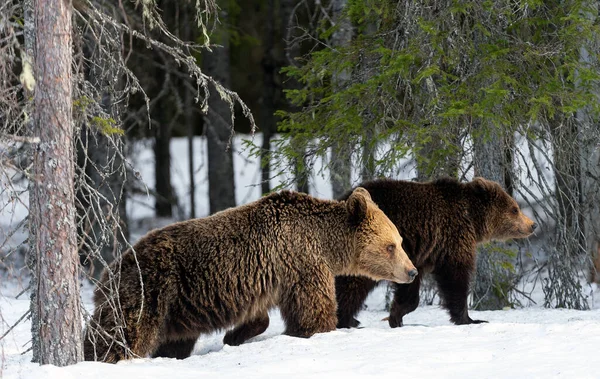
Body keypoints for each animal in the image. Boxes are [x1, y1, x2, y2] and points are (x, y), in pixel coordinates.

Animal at [83, 189, 418, 364]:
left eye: (400, 241)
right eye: (390, 245)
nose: (412, 271)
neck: (325, 243)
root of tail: (111, 268)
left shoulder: (269, 277)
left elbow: (261, 316)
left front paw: (235, 335)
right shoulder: (301, 262)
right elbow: (313, 309)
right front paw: (319, 330)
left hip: (176, 309)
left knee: (174, 341)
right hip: (149, 289)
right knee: (121, 332)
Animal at [336, 178, 536, 330]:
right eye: (515, 209)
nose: (532, 225)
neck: (472, 218)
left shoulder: (421, 253)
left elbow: (410, 287)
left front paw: (396, 315)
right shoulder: (453, 237)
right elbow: (455, 278)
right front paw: (470, 319)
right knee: (351, 284)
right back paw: (347, 320)